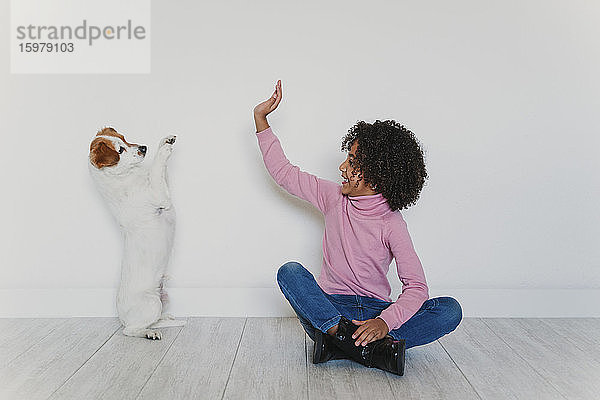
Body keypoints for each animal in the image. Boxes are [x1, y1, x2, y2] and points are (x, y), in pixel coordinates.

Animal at [88, 126, 185, 340]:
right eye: (120, 150)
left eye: (124, 138)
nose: (143, 148)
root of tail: (122, 318)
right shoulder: (159, 195)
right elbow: (157, 169)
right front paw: (164, 150)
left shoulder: (164, 188)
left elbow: (161, 171)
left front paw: (166, 140)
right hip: (152, 303)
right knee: (131, 330)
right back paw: (149, 333)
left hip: (163, 300)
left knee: (155, 321)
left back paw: (167, 321)